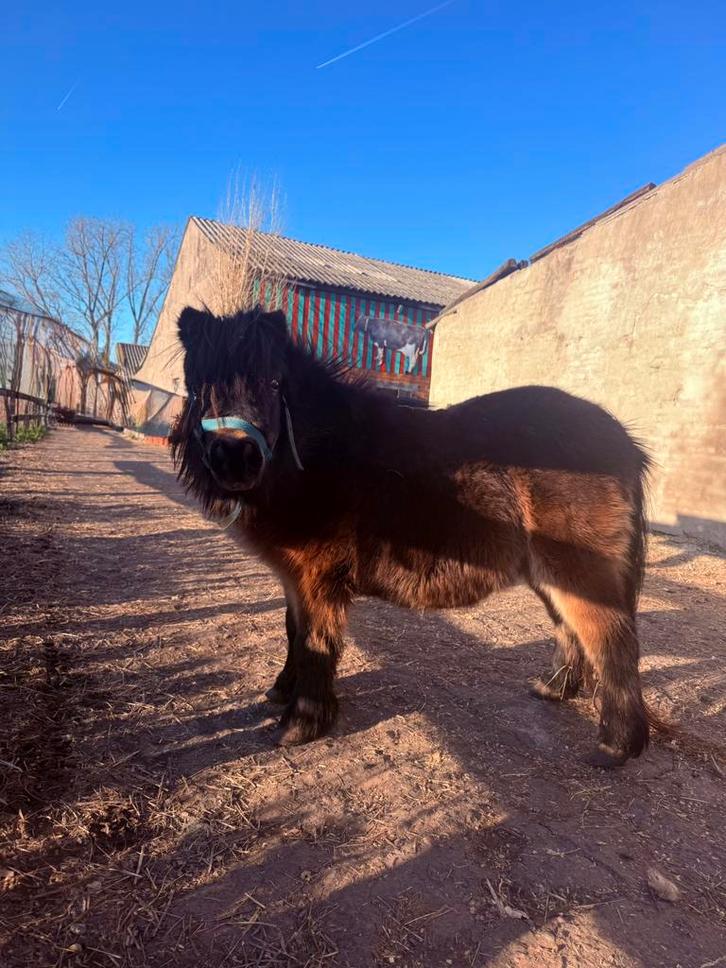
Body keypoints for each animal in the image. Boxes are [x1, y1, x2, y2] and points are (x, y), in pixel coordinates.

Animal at [170, 305, 654, 769]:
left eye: (273, 383)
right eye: (196, 386)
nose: (235, 459)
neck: (323, 455)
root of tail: (623, 440)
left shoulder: (319, 581)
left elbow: (315, 643)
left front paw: (303, 722)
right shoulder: (294, 580)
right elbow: (294, 633)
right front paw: (282, 691)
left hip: (580, 572)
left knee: (613, 643)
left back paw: (616, 747)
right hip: (548, 574)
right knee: (571, 631)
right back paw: (553, 690)